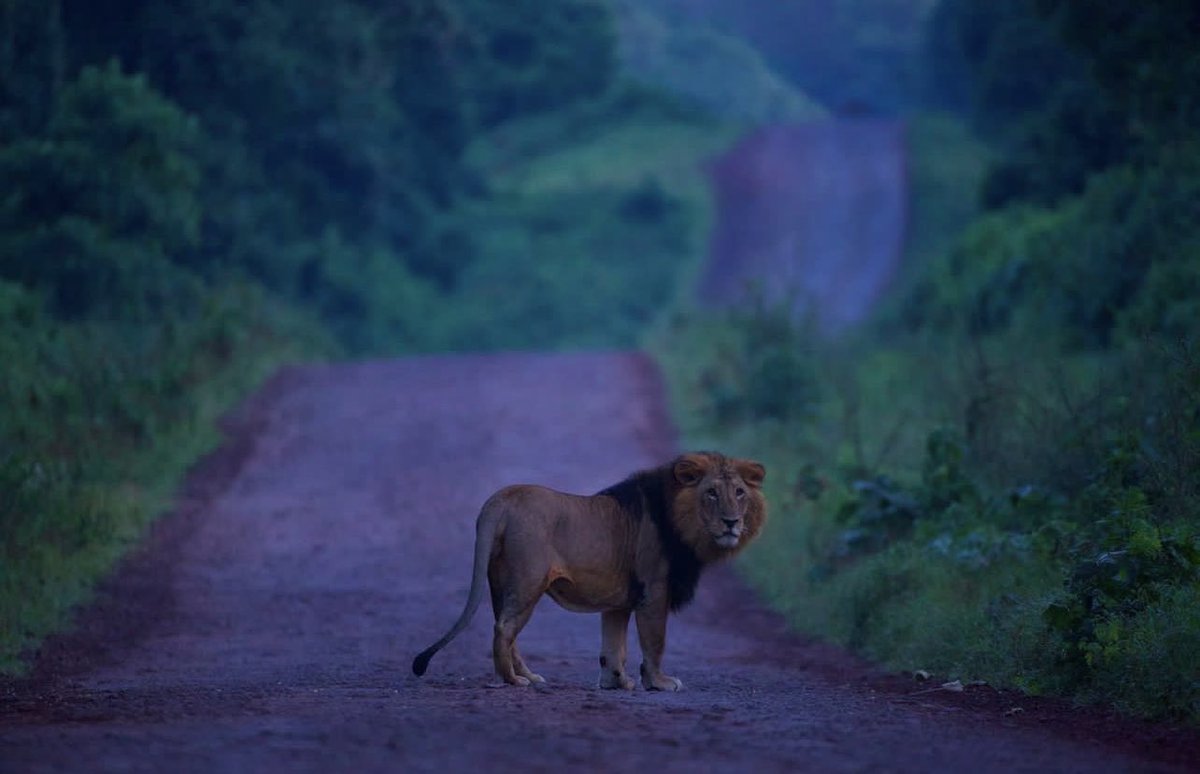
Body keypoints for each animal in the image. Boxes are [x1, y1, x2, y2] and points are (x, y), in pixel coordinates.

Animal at [411, 451, 766, 690]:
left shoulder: (619, 600)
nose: (732, 522)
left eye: (739, 493)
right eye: (711, 493)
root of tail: (500, 500)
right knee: (504, 628)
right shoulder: (653, 591)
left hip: (501, 582)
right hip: (528, 580)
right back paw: (511, 680)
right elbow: (655, 641)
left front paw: (616, 682)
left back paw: (528, 675)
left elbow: (613, 645)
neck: (682, 523)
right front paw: (659, 682)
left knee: (508, 631)